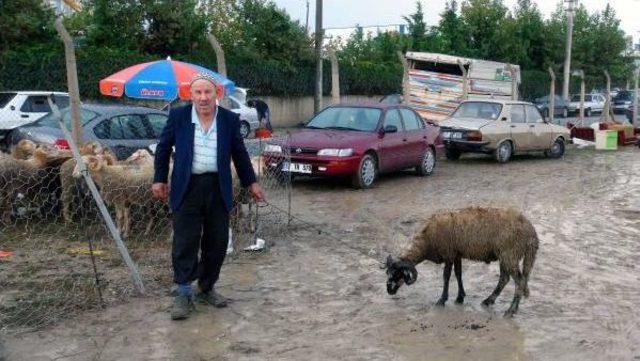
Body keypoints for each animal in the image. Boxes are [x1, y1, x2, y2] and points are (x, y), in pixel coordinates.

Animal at [384, 207, 540, 316]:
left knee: (519, 280)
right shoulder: (456, 254)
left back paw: (511, 310)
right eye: (388, 273)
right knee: (505, 278)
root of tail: (531, 232)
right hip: (506, 255)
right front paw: (460, 297)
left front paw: (442, 300)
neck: (427, 241)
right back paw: (489, 301)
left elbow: (446, 276)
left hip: (510, 254)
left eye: (398, 274)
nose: (389, 291)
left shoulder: (448, 253)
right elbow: (458, 274)